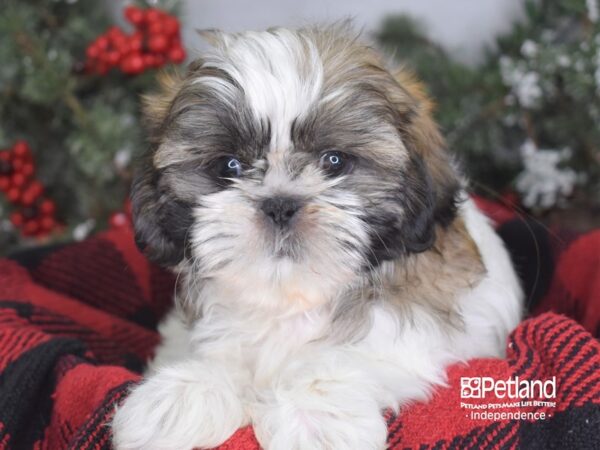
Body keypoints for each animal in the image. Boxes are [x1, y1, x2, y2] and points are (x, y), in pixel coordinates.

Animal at [110, 23, 524, 450]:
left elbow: (363, 353)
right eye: (229, 166)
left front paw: (315, 412)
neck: (289, 296)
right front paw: (183, 394)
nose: (279, 204)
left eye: (334, 161)